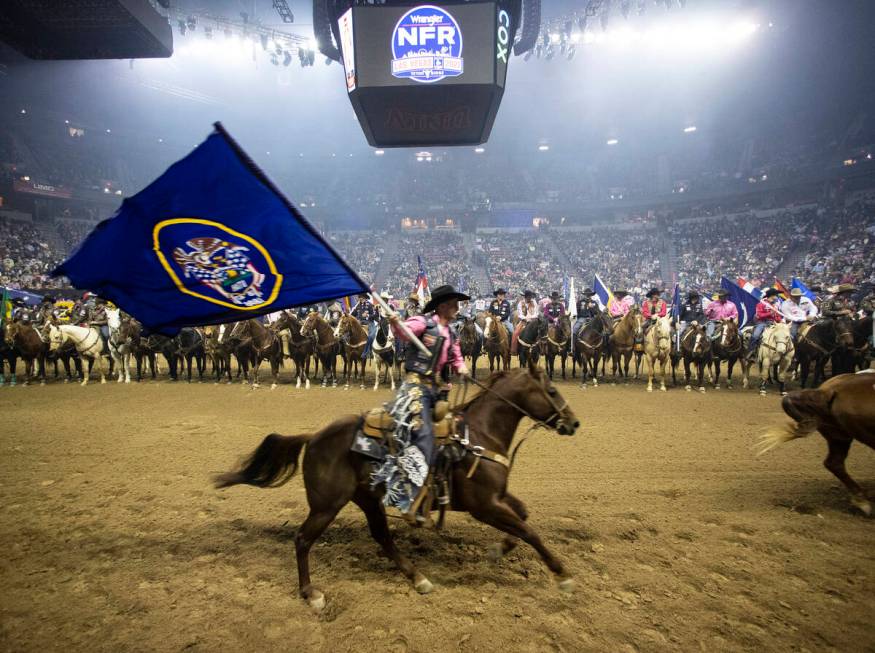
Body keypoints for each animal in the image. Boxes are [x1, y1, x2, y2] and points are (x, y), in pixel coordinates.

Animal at [214, 362, 580, 612]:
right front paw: (563, 575)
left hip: (366, 499)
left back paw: (418, 578)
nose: (574, 423)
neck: (478, 435)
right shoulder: (485, 506)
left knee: (382, 537)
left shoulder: (498, 498)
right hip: (326, 505)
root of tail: (314, 436)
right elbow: (530, 531)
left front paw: (499, 550)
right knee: (303, 540)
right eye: (551, 391)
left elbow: (524, 517)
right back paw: (311, 594)